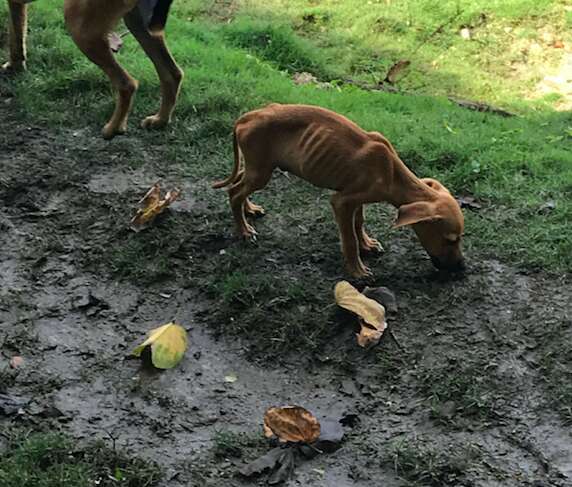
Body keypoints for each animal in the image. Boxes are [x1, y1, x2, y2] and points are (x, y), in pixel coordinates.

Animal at [1, 0, 181, 140]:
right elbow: (16, 36)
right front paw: (14, 67)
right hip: (137, 23)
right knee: (172, 74)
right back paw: (160, 120)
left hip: (80, 24)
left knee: (127, 84)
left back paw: (113, 128)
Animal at [213, 104, 464, 276]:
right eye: (450, 240)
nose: (462, 268)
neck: (391, 173)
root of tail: (247, 116)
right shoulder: (341, 202)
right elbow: (349, 239)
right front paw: (357, 270)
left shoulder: (356, 199)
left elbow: (359, 223)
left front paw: (367, 244)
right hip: (260, 171)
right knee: (235, 193)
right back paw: (244, 230)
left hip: (256, 167)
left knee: (239, 186)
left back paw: (249, 210)